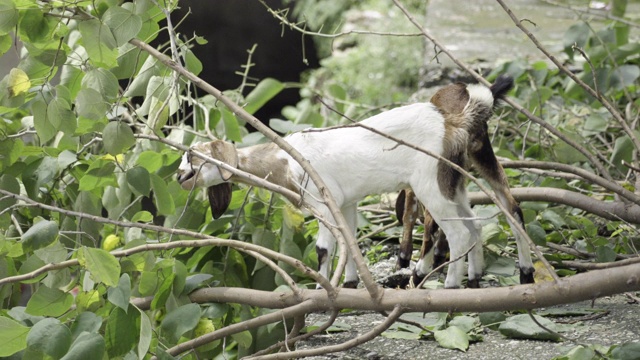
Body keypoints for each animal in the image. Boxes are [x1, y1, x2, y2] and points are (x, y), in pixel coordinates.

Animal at [176, 76, 536, 290]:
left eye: (193, 156)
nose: (179, 177)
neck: (288, 158)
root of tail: (455, 121)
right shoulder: (345, 202)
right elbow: (349, 240)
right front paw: (349, 284)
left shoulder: (322, 202)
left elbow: (324, 248)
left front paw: (322, 291)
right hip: (454, 180)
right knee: (483, 220)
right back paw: (487, 277)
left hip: (430, 184)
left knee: (457, 231)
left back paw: (447, 285)